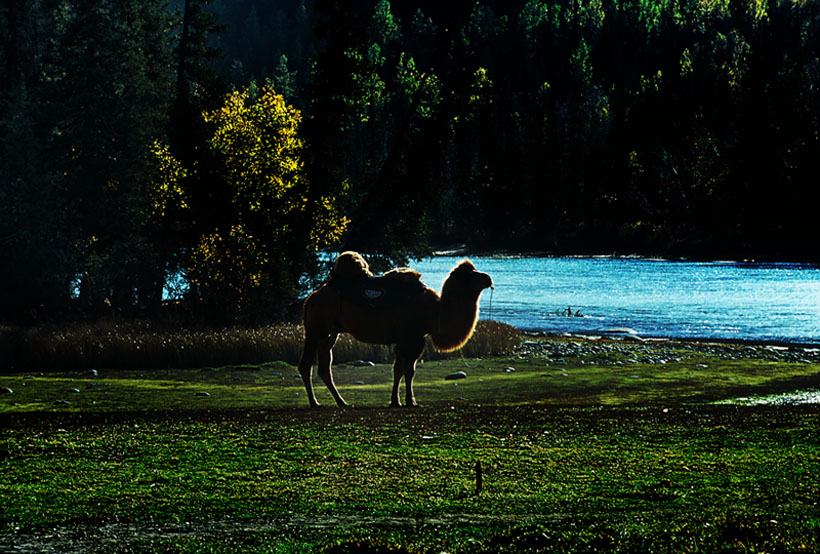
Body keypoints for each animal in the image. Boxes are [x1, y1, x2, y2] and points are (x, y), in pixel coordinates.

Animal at [302, 250, 494, 406]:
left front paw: (396, 401)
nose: (488, 278)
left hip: (330, 332)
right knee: (306, 365)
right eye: (470, 276)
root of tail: (312, 297)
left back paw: (341, 402)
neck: (435, 312)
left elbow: (398, 370)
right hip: (316, 328)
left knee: (324, 367)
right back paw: (315, 402)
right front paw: (411, 401)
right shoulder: (413, 338)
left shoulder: (403, 340)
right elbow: (409, 371)